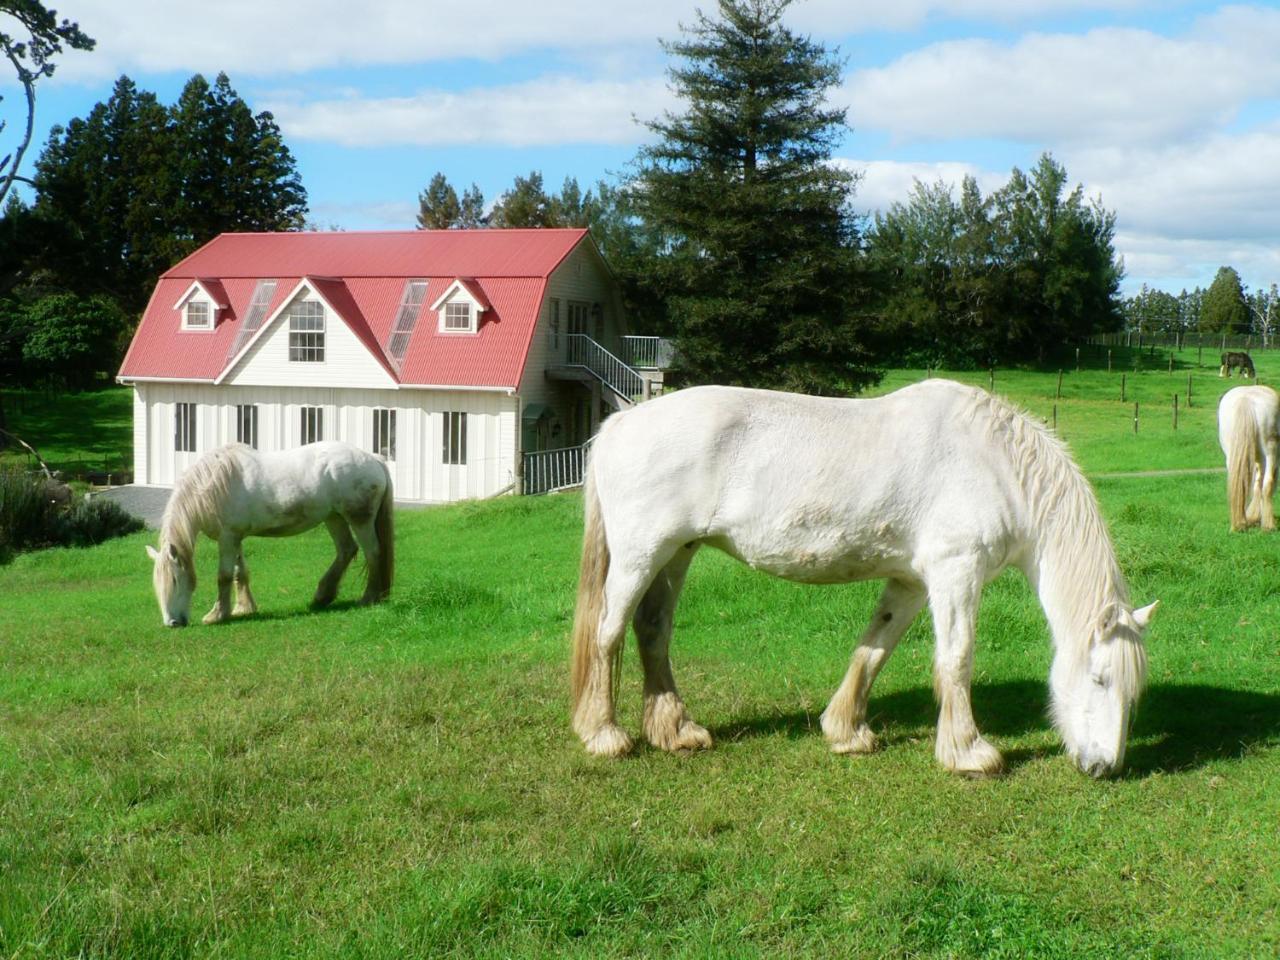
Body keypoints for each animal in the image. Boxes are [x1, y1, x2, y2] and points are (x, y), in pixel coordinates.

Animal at [146, 442, 394, 627]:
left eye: (175, 579)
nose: (172, 623)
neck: (213, 485)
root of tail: (373, 459)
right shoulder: (235, 538)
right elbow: (240, 572)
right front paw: (243, 608)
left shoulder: (227, 538)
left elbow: (224, 575)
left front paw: (217, 615)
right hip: (334, 517)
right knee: (346, 550)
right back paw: (323, 596)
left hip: (359, 519)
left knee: (372, 552)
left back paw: (369, 597)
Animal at [570, 378, 1162, 778]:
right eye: (1100, 679)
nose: (1105, 766)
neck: (995, 463)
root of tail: (621, 423)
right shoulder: (956, 572)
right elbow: (956, 659)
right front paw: (969, 752)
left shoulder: (913, 582)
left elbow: (875, 647)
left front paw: (847, 731)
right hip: (640, 556)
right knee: (607, 633)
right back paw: (604, 735)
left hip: (677, 553)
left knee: (652, 632)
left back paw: (676, 731)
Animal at [1213, 384, 1274, 535]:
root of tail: (1245, 399)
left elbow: (1257, 484)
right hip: (1271, 451)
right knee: (1268, 483)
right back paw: (1268, 526)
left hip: (1231, 453)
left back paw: (1239, 524)